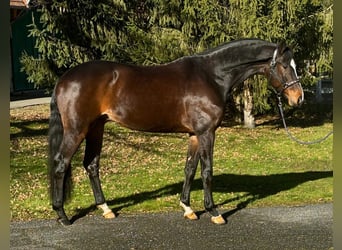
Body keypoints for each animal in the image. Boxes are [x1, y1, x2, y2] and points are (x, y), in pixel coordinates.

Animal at [47, 38, 302, 226]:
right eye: (284, 66)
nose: (298, 98)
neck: (211, 75)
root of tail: (64, 80)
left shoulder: (194, 134)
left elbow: (190, 169)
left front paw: (188, 208)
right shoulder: (207, 132)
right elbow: (207, 171)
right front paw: (214, 212)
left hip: (96, 127)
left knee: (91, 164)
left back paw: (105, 208)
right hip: (77, 129)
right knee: (60, 163)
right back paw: (63, 215)